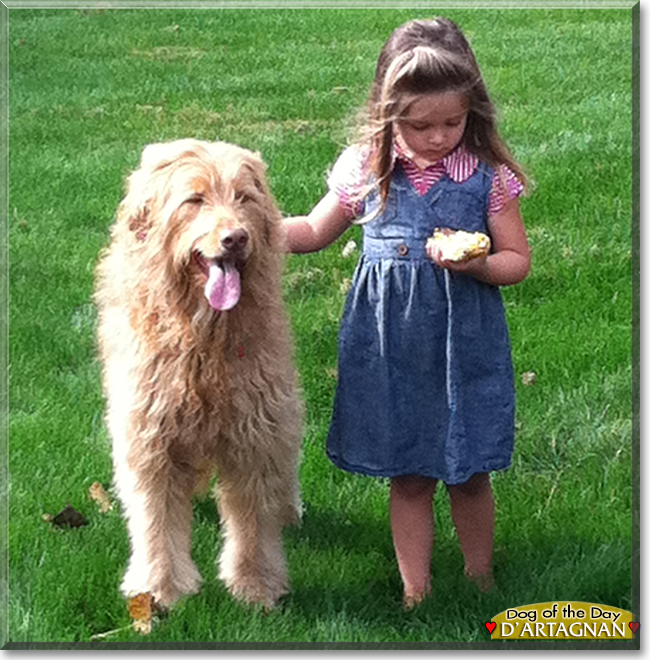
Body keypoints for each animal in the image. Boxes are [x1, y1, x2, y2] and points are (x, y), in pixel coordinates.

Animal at [93, 138, 304, 608]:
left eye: (244, 197)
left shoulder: (256, 430)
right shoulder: (150, 438)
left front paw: (256, 583)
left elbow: (254, 517)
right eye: (195, 200)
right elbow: (156, 517)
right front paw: (161, 586)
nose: (235, 238)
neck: (203, 339)